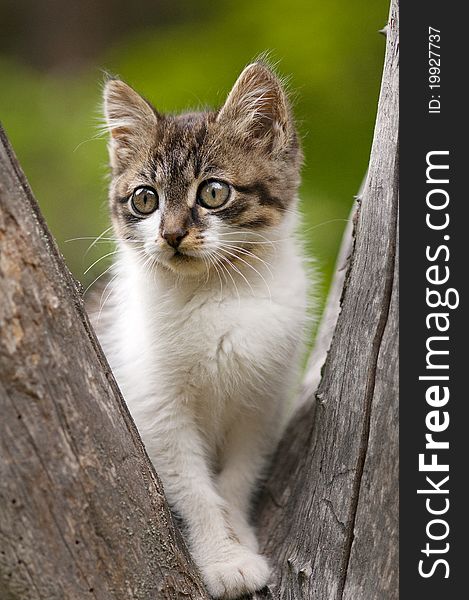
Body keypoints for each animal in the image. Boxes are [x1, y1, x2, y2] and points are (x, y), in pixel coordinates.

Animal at [97, 63, 308, 596]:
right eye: (144, 199)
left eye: (214, 192)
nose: (171, 234)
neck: (216, 293)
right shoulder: (153, 404)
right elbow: (193, 488)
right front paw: (224, 559)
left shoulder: (263, 401)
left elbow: (236, 479)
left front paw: (241, 539)